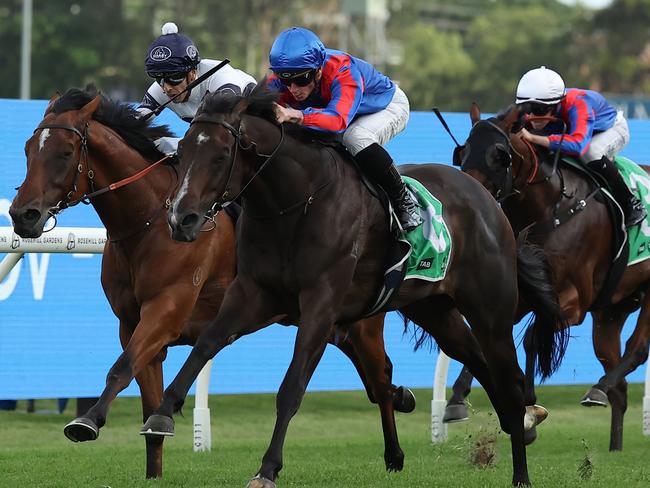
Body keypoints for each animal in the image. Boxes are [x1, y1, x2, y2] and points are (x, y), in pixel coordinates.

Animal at [8, 87, 416, 480]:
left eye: (64, 153)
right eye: (28, 150)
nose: (22, 214)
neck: (148, 222)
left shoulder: (166, 312)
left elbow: (122, 367)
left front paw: (88, 420)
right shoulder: (131, 323)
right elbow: (145, 397)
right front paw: (153, 467)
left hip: (356, 320)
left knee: (379, 379)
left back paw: (396, 447)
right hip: (335, 325)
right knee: (378, 380)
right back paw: (401, 410)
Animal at [139, 86, 564, 484]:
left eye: (221, 154)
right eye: (183, 151)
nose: (181, 219)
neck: (296, 202)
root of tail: (489, 201)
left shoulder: (321, 303)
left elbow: (292, 387)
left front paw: (267, 468)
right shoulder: (252, 292)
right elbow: (206, 345)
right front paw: (162, 414)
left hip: (491, 311)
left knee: (507, 379)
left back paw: (521, 466)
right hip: (434, 310)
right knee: (474, 358)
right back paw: (521, 423)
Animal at [448, 105, 648, 452]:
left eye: (499, 155)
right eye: (464, 152)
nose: (471, 194)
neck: (551, 208)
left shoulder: (573, 301)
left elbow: (530, 338)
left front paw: (527, 401)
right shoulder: (525, 293)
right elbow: (487, 336)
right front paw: (457, 399)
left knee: (638, 349)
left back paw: (598, 388)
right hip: (611, 311)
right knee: (620, 381)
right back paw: (614, 442)